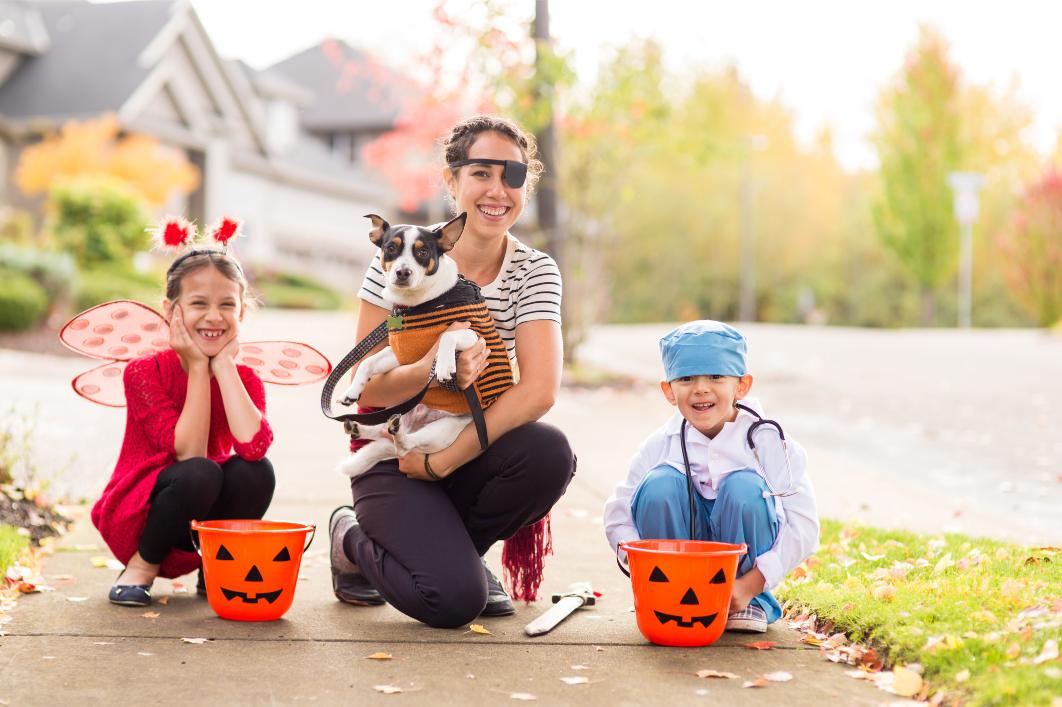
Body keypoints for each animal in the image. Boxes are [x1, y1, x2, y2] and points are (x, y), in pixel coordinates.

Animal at [333, 212, 511, 475]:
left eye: (423, 252)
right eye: (391, 248)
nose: (403, 272)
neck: (422, 303)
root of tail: (412, 424)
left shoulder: (473, 335)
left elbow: (447, 336)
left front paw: (445, 366)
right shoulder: (400, 355)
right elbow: (368, 363)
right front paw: (352, 391)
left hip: (442, 431)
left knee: (405, 444)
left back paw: (395, 434)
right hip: (402, 402)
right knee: (384, 430)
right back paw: (359, 428)